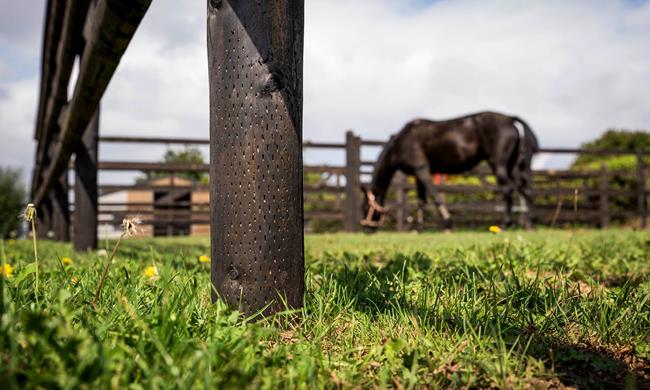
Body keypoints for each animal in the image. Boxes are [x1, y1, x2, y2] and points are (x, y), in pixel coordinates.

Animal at [360, 111, 536, 230]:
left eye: (365, 207)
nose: (366, 228)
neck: (398, 145)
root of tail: (510, 118)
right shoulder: (418, 175)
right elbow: (421, 201)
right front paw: (418, 228)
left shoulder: (422, 169)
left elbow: (435, 196)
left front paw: (447, 223)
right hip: (512, 164)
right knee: (525, 190)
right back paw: (529, 224)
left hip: (498, 163)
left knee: (508, 189)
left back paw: (505, 224)